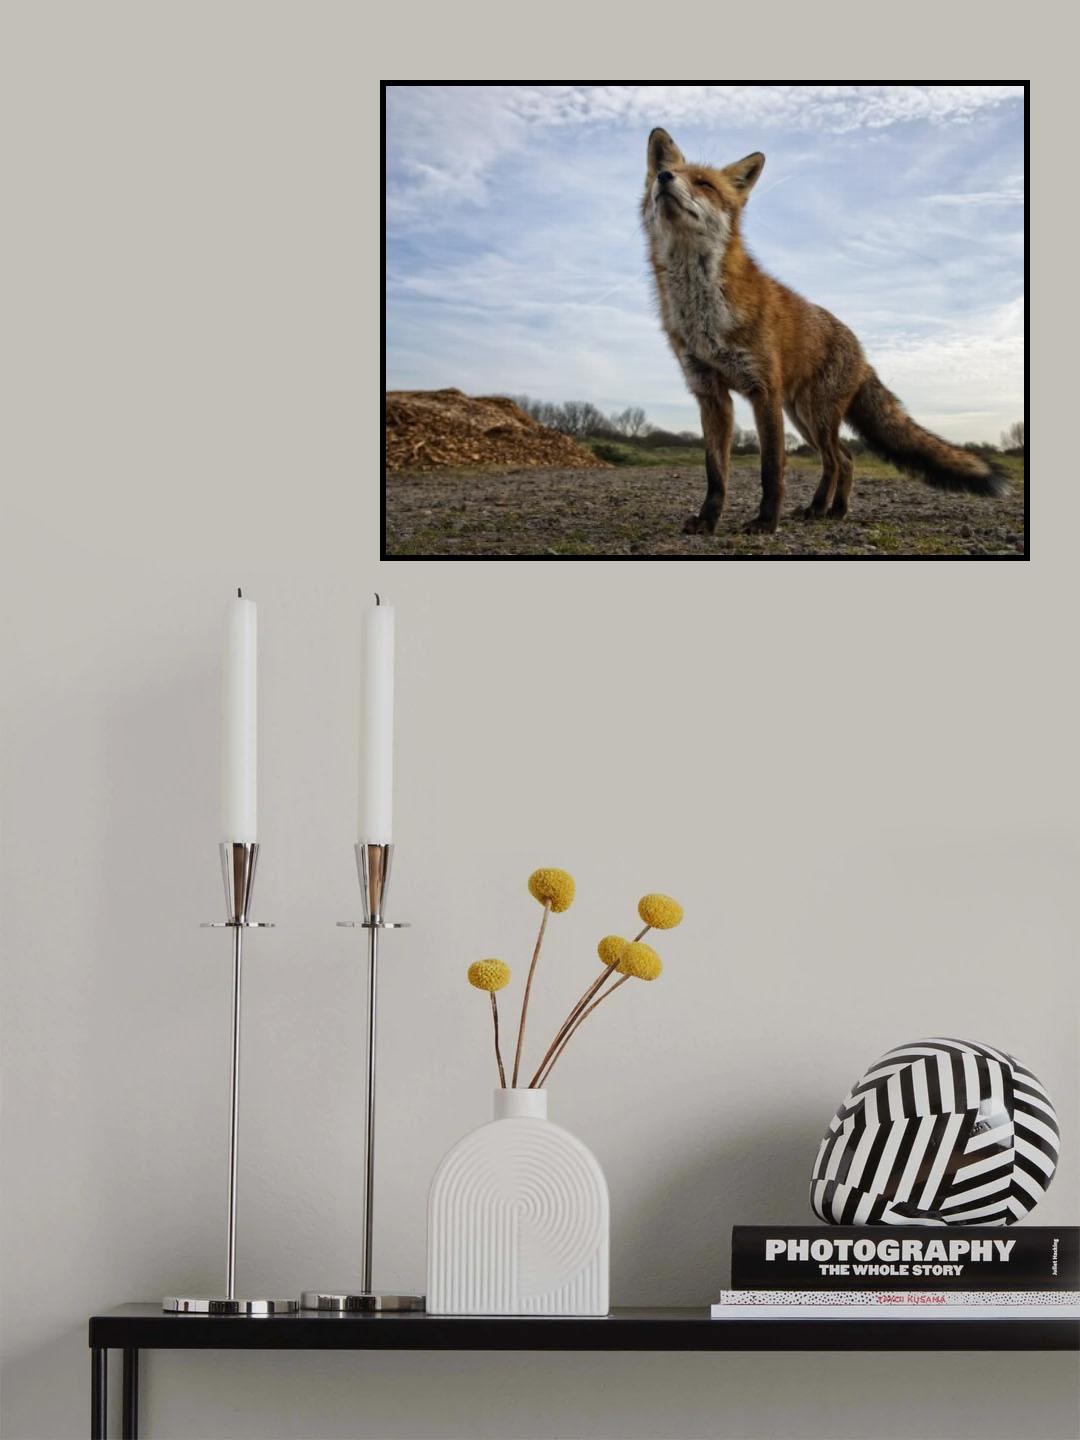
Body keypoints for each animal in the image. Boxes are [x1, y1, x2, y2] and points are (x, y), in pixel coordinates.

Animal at [642, 128, 1007, 534]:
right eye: (669, 173)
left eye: (704, 183)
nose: (664, 177)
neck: (704, 315)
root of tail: (862, 354)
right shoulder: (710, 392)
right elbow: (715, 472)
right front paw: (708, 520)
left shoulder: (763, 390)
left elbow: (772, 469)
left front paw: (766, 522)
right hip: (802, 417)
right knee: (844, 457)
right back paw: (830, 509)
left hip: (813, 415)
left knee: (836, 459)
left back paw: (824, 509)